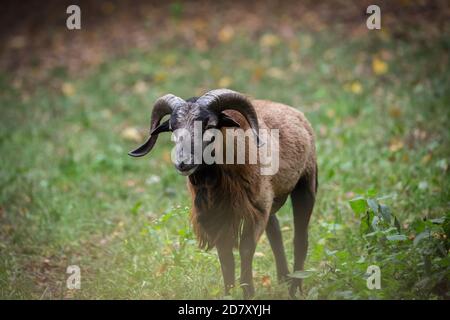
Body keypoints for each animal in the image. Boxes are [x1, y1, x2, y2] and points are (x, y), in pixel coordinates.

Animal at [128, 89, 318, 298]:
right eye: (172, 127)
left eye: (209, 125)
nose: (183, 162)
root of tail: (297, 113)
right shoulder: (216, 215)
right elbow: (225, 257)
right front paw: (229, 293)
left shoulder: (256, 211)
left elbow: (245, 250)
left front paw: (248, 293)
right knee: (275, 231)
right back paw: (284, 278)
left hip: (305, 184)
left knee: (300, 240)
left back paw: (295, 289)